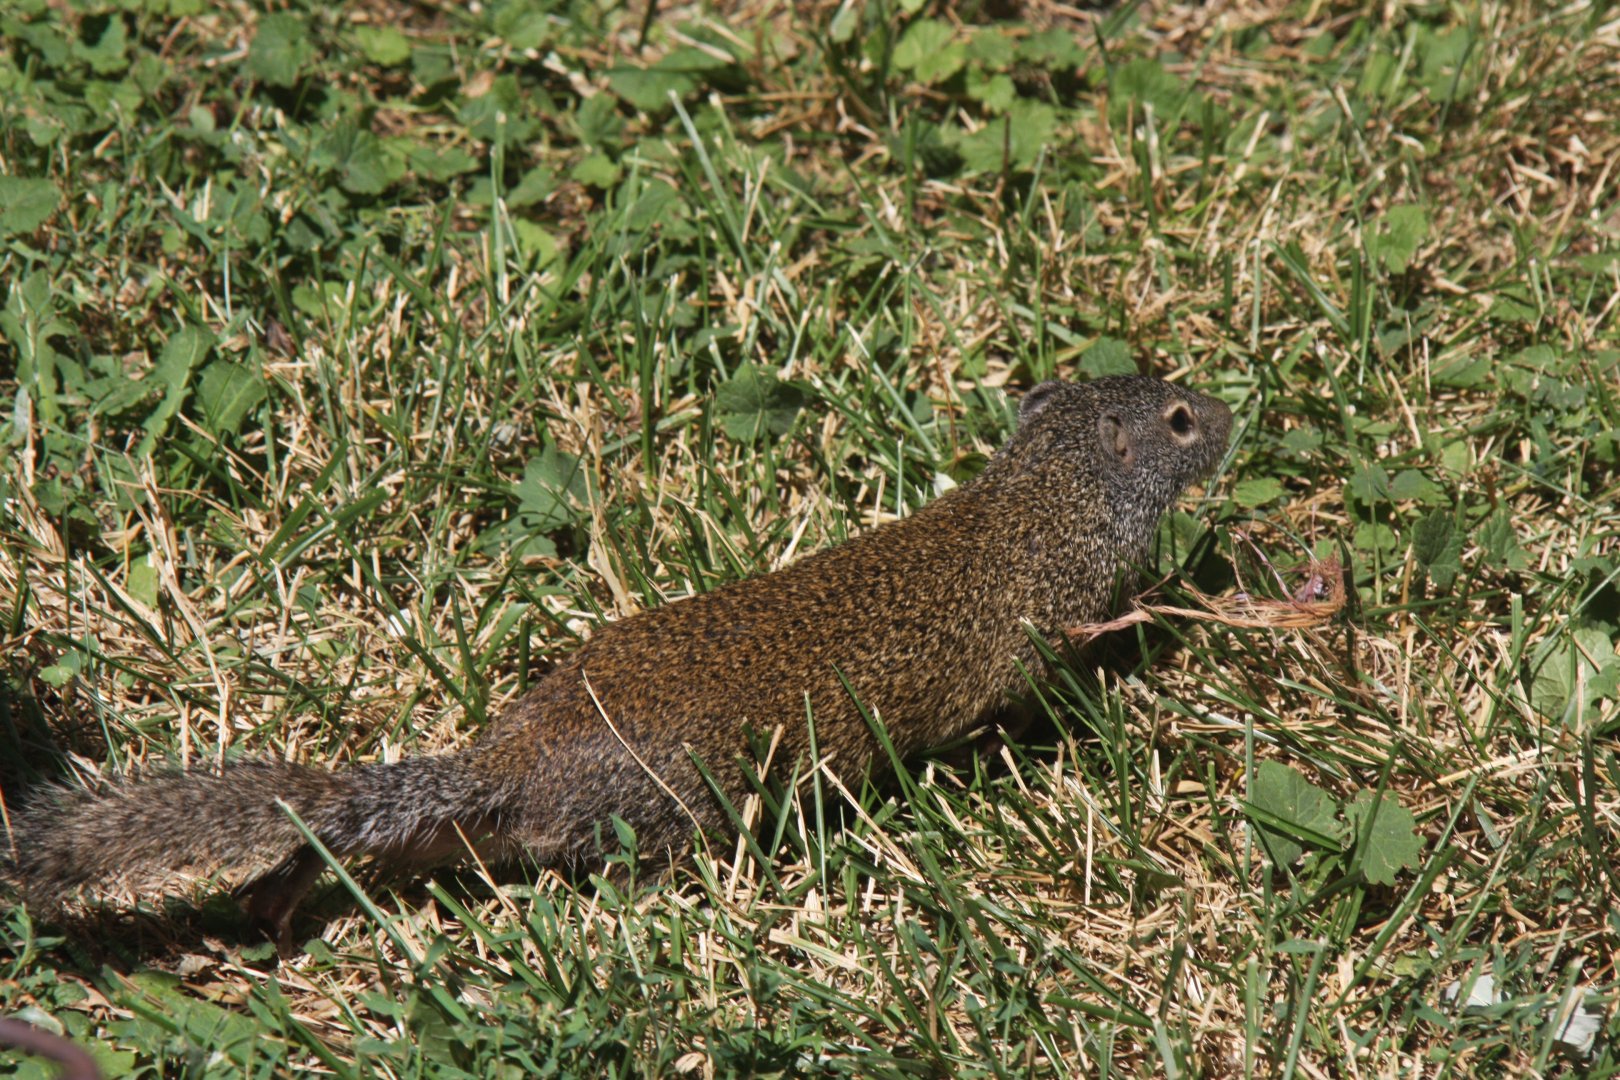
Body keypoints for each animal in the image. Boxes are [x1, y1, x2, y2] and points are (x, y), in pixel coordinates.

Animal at [4, 376, 1231, 946]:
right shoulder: (1040, 638)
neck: (1044, 500)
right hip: (669, 808)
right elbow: (1046, 698)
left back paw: (281, 897)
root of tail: (512, 756)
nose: (1232, 411)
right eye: (1178, 419)